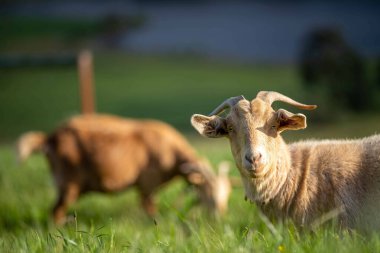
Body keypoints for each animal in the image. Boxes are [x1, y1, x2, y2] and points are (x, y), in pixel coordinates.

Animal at [17, 114, 230, 223]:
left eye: (227, 194)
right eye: (208, 192)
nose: (219, 216)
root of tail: (50, 138)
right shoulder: (148, 183)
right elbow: (149, 207)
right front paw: (156, 224)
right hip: (68, 183)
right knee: (56, 211)